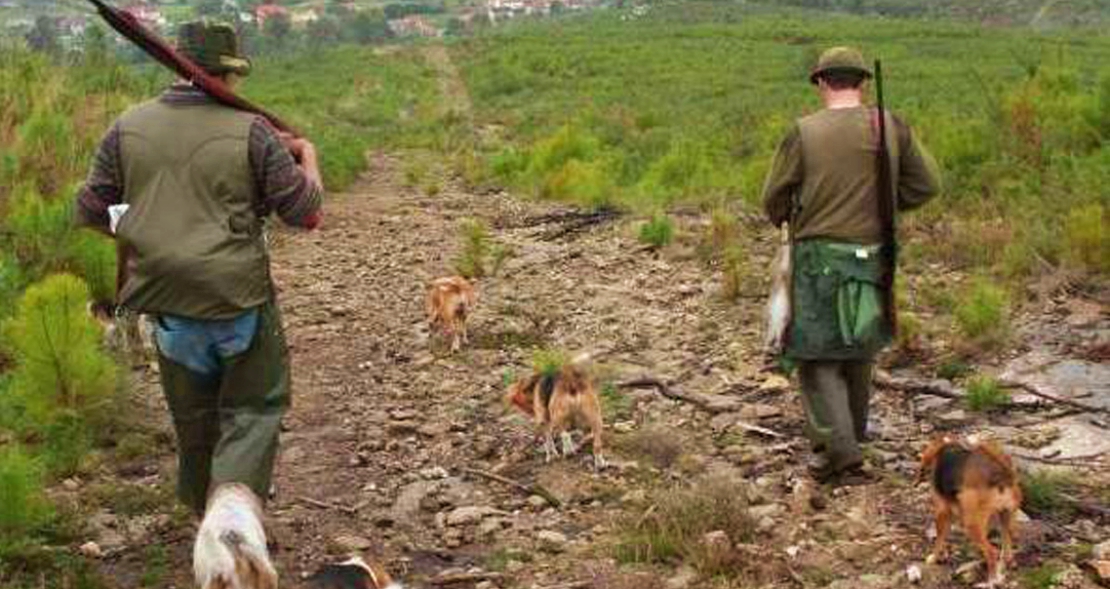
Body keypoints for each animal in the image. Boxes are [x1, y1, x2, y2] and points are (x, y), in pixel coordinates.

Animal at [919, 434, 1021, 585]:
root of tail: (1002, 475)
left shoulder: (942, 511)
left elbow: (939, 538)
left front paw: (934, 558)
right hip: (1006, 516)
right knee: (1007, 544)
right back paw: (1006, 565)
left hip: (971, 523)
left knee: (992, 552)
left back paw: (991, 580)